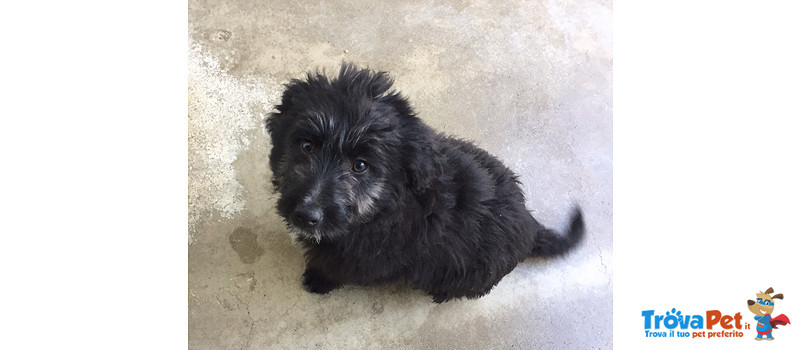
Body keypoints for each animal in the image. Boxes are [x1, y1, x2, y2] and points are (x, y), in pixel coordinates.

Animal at [266, 64, 584, 302]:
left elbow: (336, 268)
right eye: (307, 146)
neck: (385, 206)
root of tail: (530, 223)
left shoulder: (362, 258)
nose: (306, 215)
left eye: (360, 166)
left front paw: (318, 279)